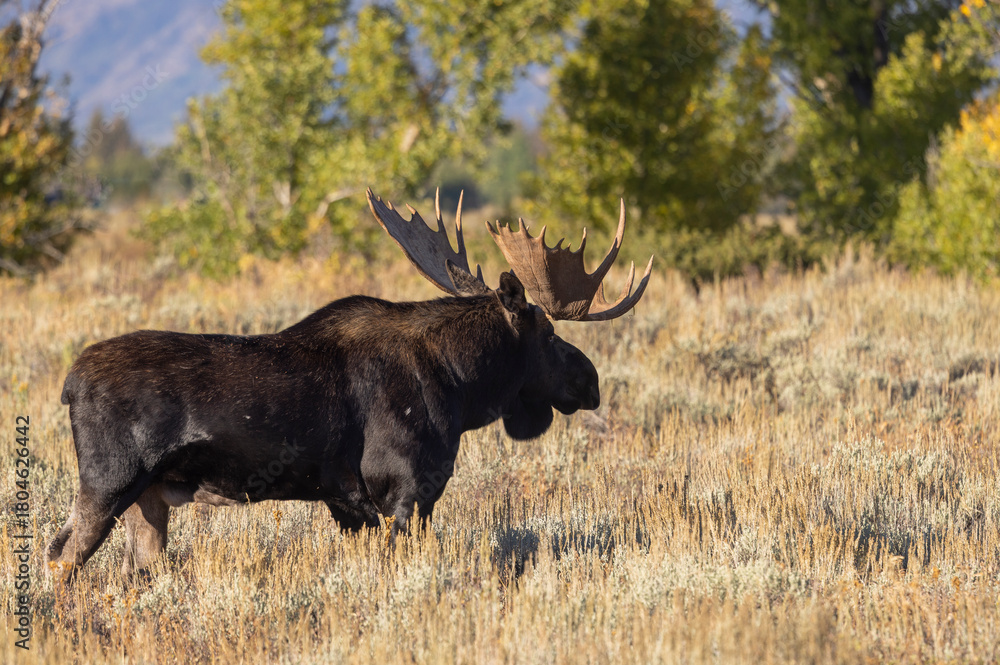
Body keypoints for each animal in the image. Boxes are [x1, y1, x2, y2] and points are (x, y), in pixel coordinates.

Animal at [46, 189, 653, 582]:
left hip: (148, 499)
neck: (462, 387)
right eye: (547, 333)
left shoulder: (346, 502)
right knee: (60, 557)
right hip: (108, 481)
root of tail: (69, 385)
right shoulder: (405, 489)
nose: (591, 381)